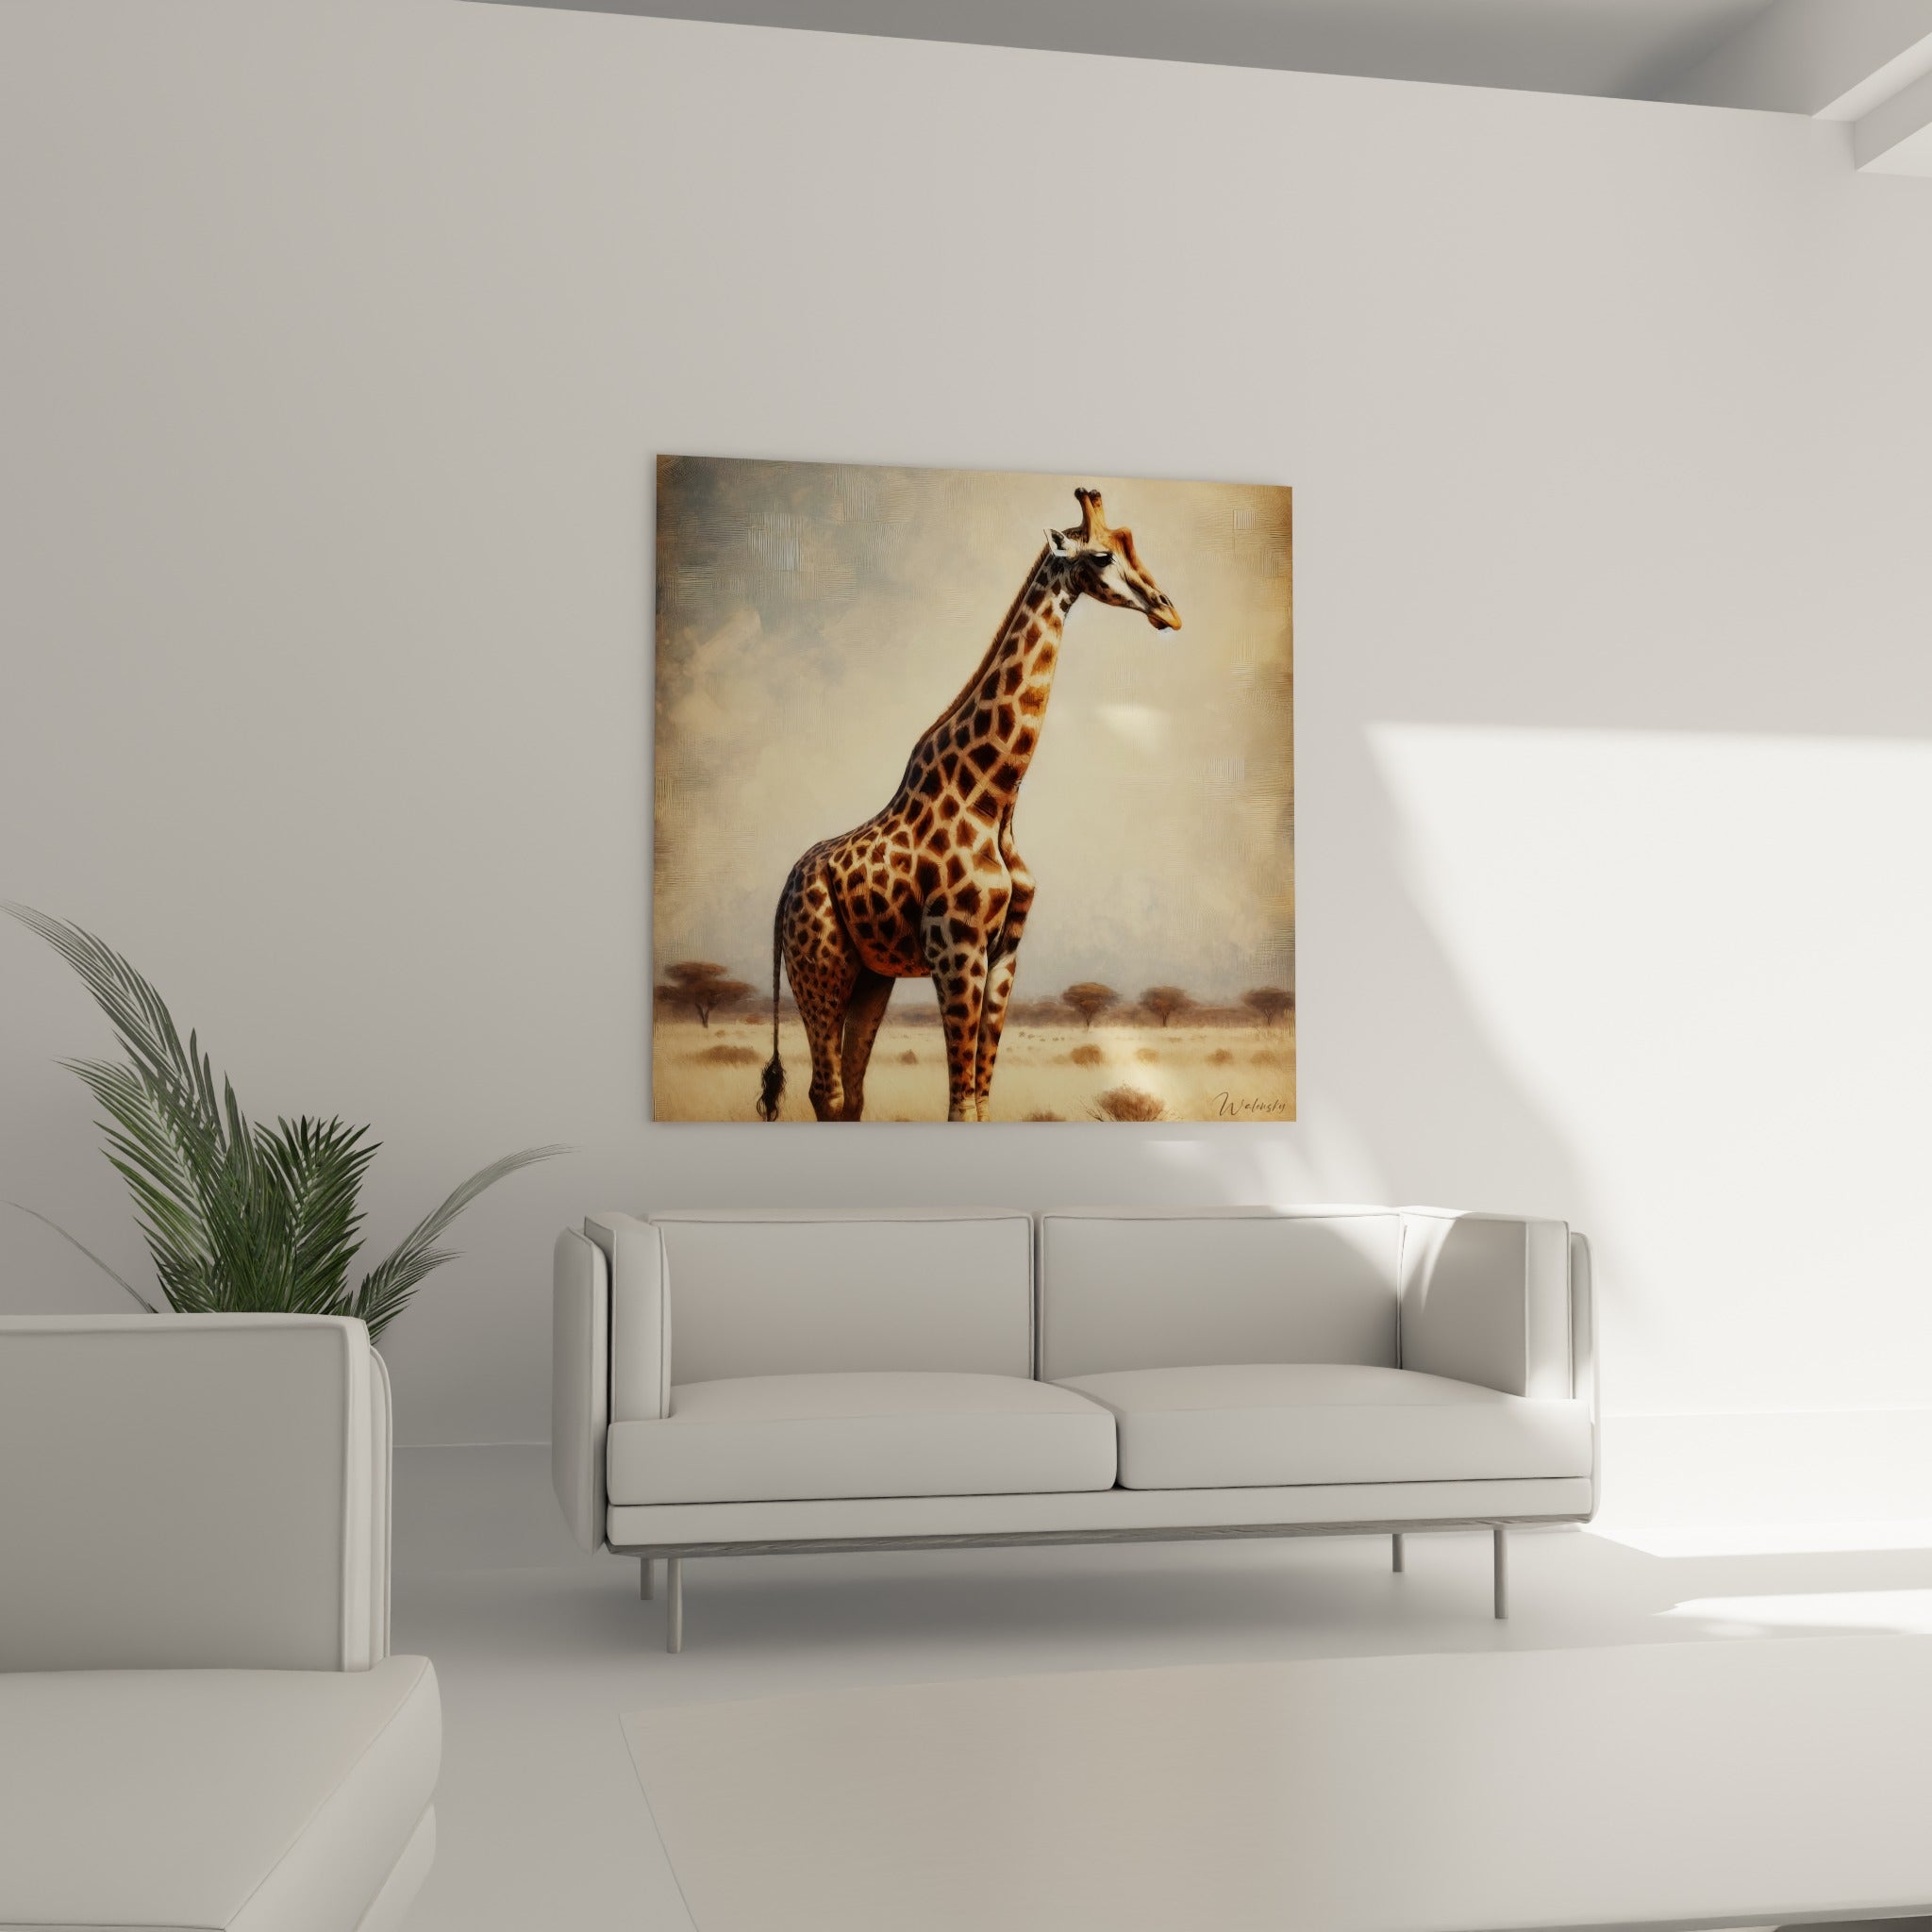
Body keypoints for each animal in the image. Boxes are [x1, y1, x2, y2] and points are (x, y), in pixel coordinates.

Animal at [756, 487, 1181, 1123]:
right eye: (1103, 555)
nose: (1168, 611)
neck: (993, 798)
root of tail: (784, 891)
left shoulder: (1005, 953)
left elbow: (980, 1097)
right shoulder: (955, 949)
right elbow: (960, 1106)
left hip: (869, 975)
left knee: (850, 1092)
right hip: (819, 966)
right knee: (825, 1090)